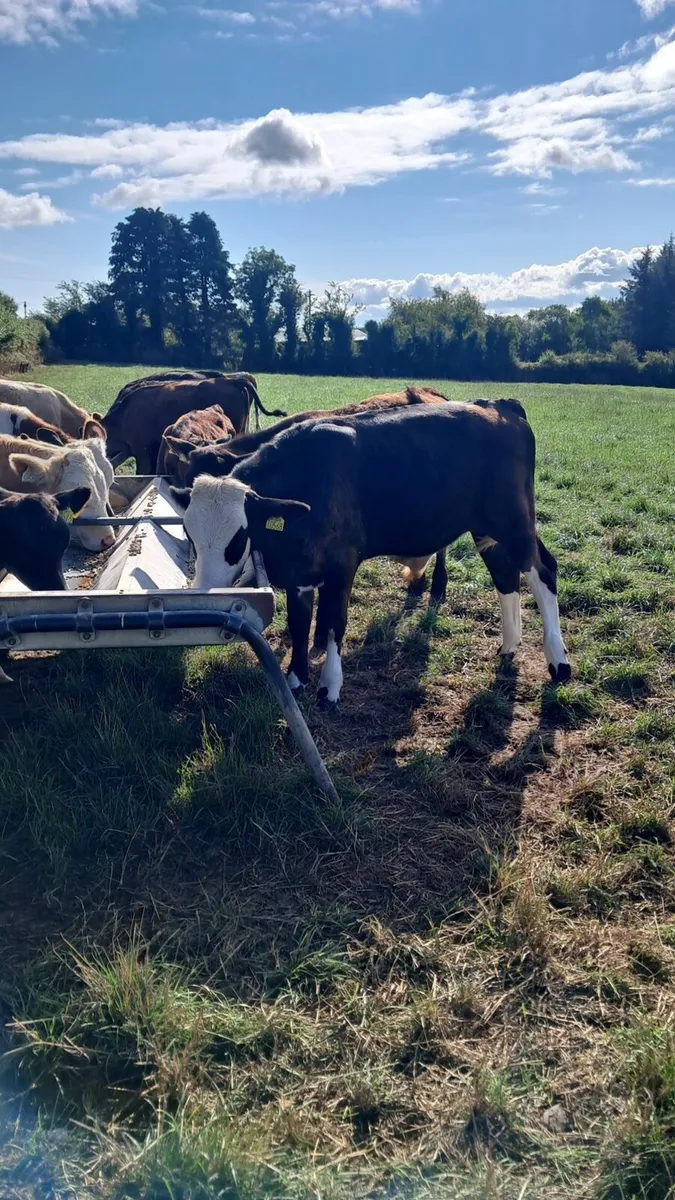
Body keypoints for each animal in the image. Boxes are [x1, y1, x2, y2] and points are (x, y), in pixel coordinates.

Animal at [171, 400, 571, 711]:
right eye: (189, 533)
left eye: (238, 537)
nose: (206, 590)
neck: (307, 480)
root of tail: (500, 406)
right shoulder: (300, 574)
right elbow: (299, 625)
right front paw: (296, 679)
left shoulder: (342, 565)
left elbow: (334, 622)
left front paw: (329, 687)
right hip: (485, 528)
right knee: (505, 575)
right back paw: (509, 646)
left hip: (514, 522)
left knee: (543, 572)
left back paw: (558, 661)